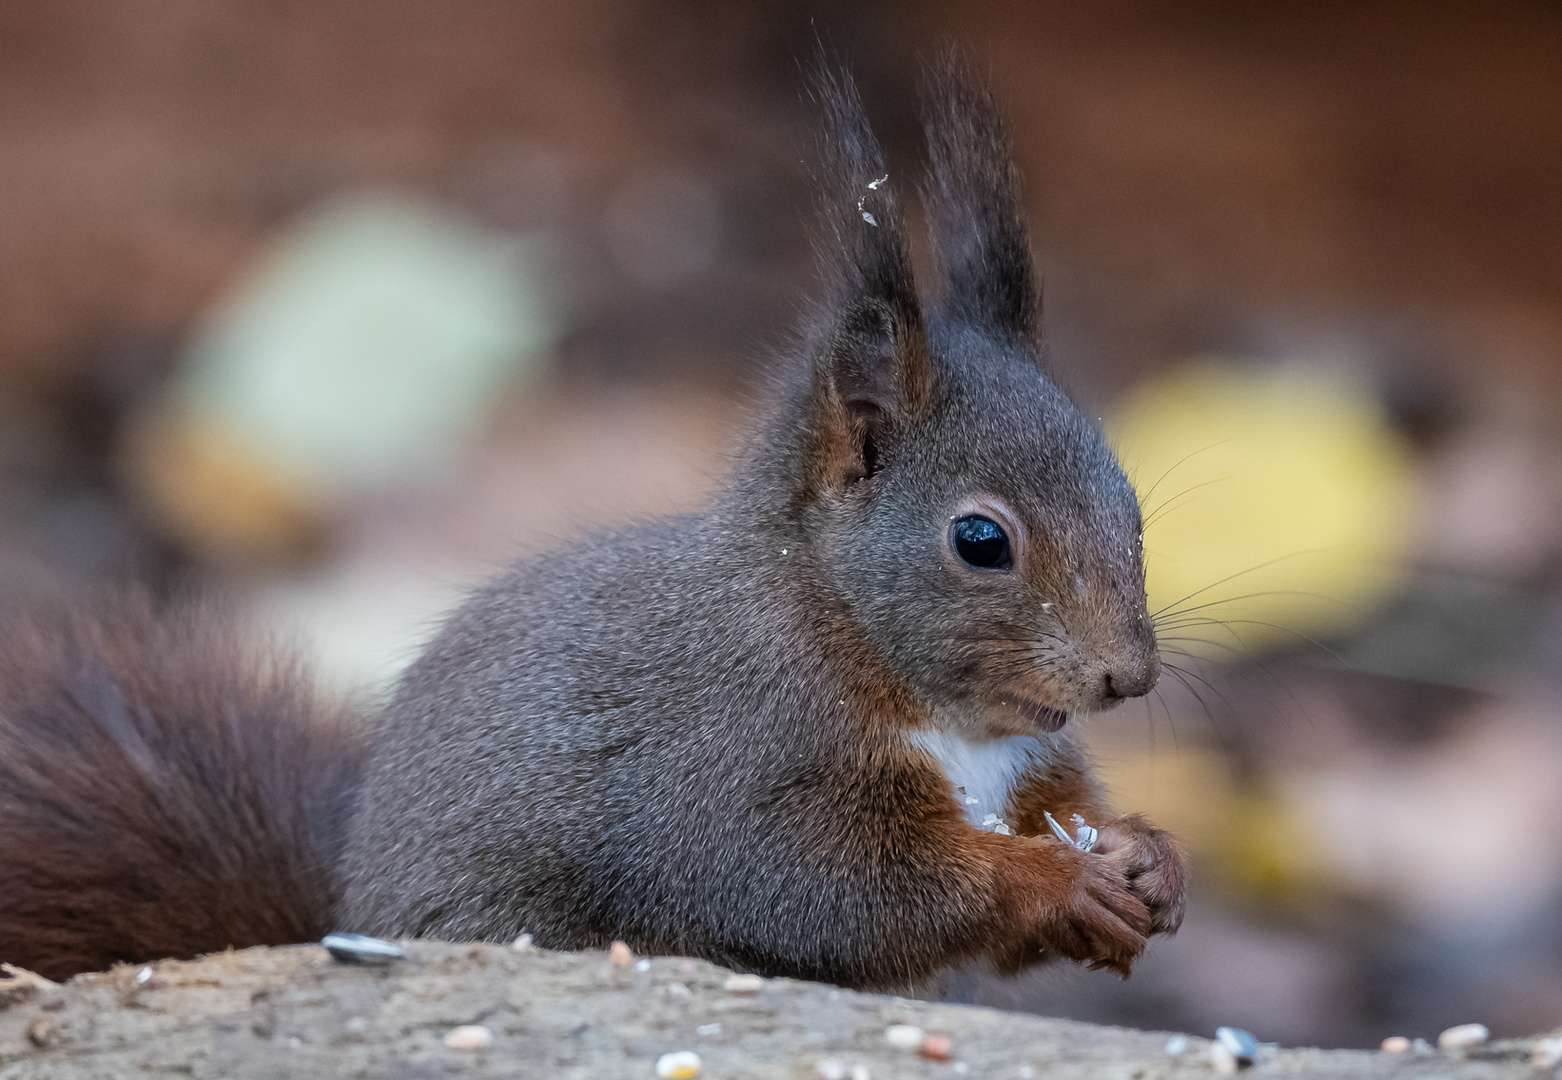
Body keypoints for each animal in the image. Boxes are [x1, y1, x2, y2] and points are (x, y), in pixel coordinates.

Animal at [0, 57, 1180, 987]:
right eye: (981, 541)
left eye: (1132, 506)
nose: (1127, 678)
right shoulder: (731, 760)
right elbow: (831, 886)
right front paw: (1056, 879)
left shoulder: (1021, 762)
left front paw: (1145, 857)